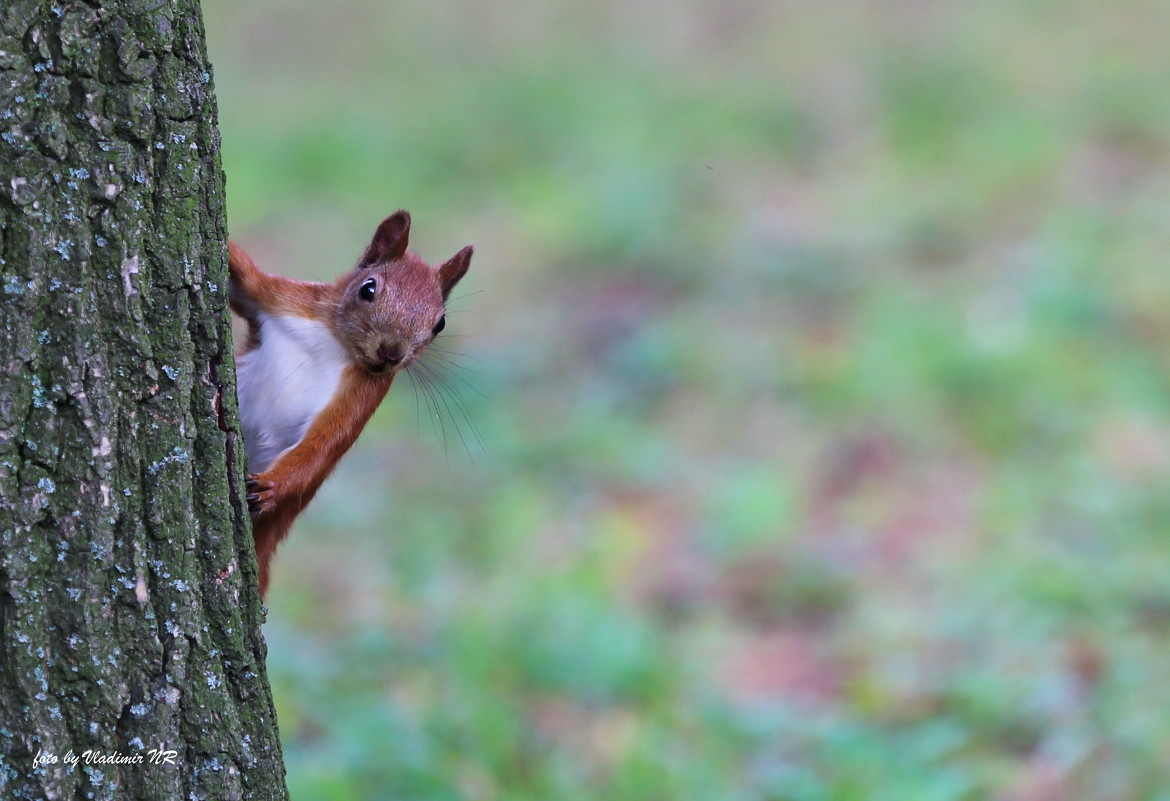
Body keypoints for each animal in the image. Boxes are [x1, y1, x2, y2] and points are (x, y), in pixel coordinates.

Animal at [226, 209, 470, 596]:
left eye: (440, 324)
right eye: (368, 288)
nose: (391, 352)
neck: (334, 342)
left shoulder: (361, 397)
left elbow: (323, 444)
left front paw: (271, 486)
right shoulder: (279, 296)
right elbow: (244, 279)